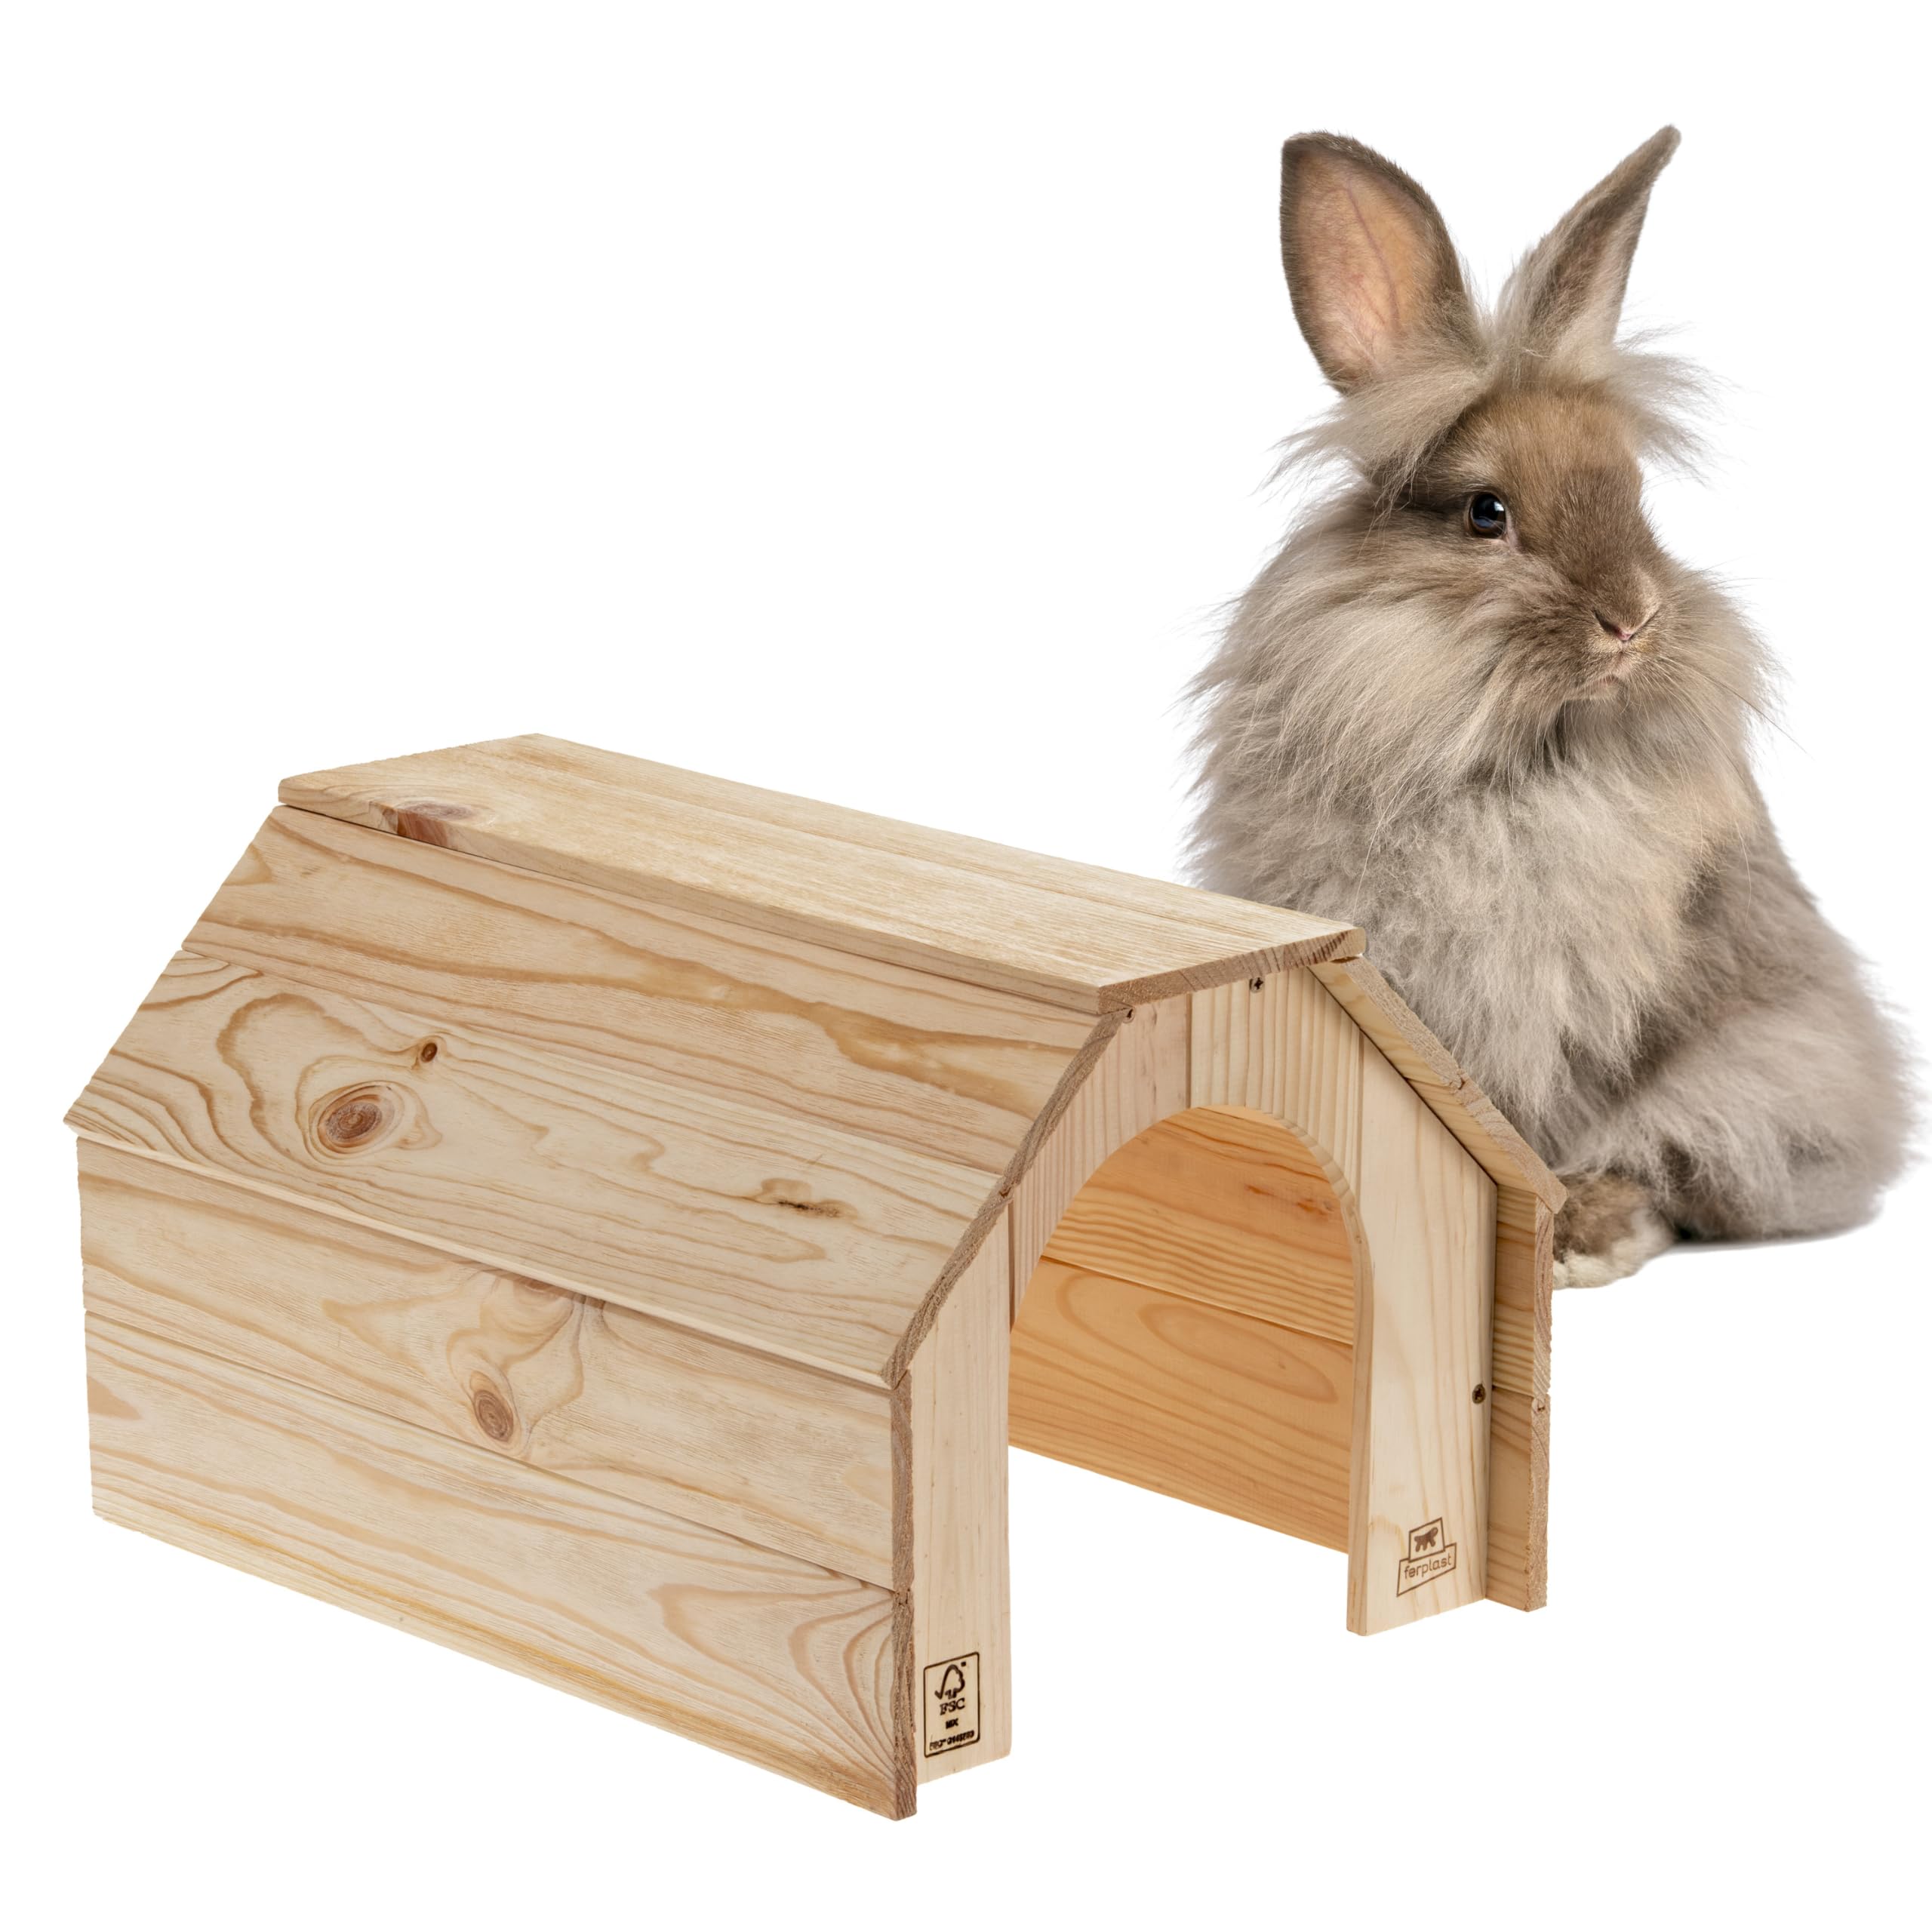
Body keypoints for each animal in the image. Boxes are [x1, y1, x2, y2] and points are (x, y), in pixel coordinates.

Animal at [1186, 126, 1912, 1286]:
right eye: (1487, 513)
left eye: (1636, 497)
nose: (1632, 620)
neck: (1522, 754)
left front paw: (1547, 1234)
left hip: (1769, 1069)